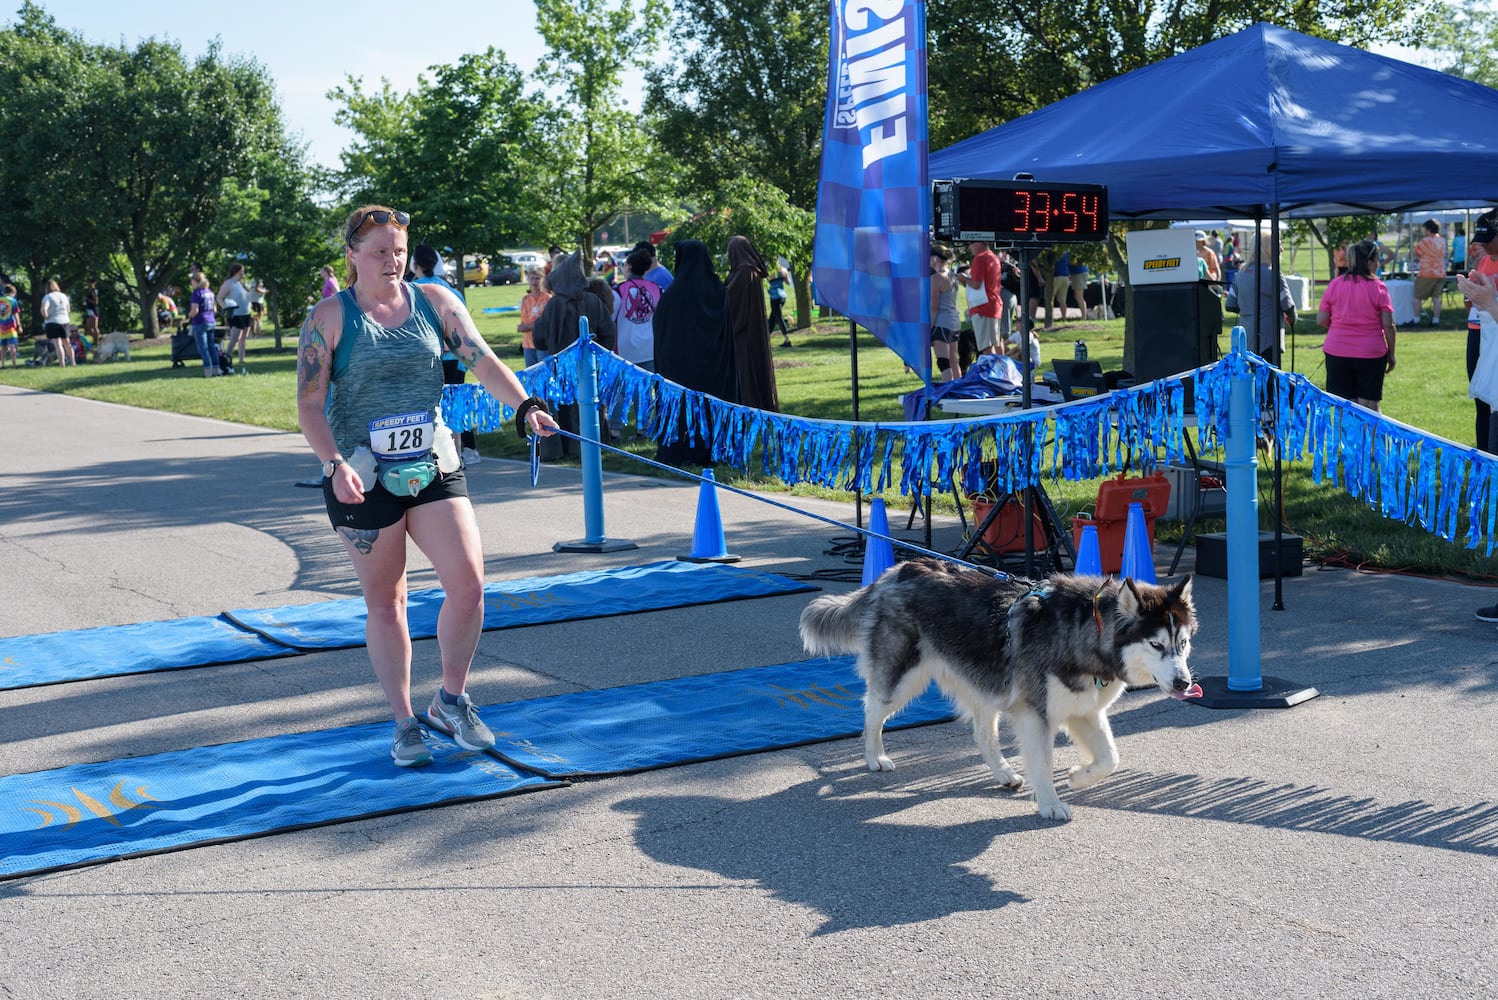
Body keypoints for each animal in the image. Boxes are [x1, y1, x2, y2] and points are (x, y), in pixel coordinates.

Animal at [802, 553, 1198, 820]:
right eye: (1156, 645)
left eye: (1183, 643)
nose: (1184, 683)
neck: (1086, 631)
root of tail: (898, 570)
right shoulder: (1036, 714)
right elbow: (1043, 763)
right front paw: (1051, 803)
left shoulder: (1084, 709)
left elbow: (1110, 758)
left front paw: (1078, 776)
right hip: (902, 679)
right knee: (872, 709)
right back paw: (874, 756)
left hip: (985, 681)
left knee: (982, 733)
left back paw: (1004, 773)